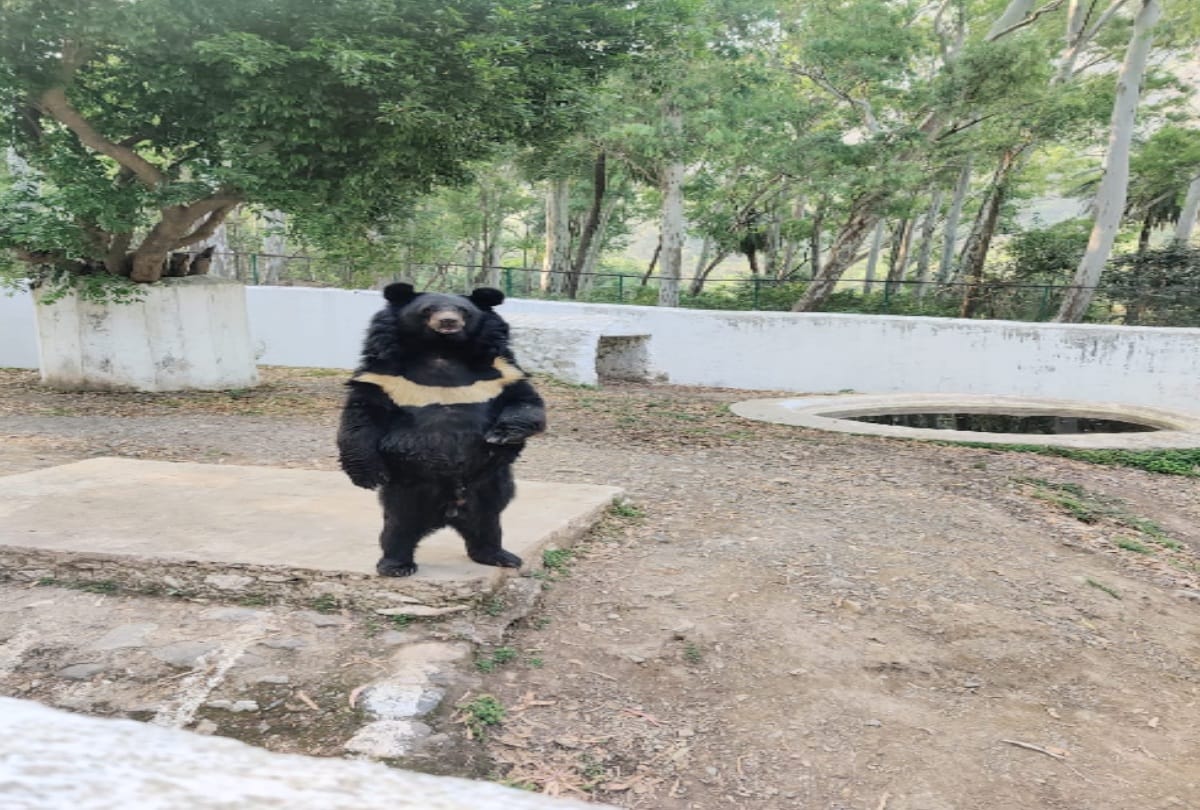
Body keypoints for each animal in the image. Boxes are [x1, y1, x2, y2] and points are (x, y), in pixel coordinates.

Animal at [337, 282, 546, 577]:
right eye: (428, 310)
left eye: (463, 311)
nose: (448, 321)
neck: (442, 351)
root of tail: (449, 512)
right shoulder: (383, 377)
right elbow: (361, 418)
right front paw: (367, 475)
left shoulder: (501, 372)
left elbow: (524, 402)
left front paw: (502, 435)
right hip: (409, 487)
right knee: (399, 524)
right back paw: (396, 564)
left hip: (489, 483)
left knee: (488, 520)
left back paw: (499, 556)